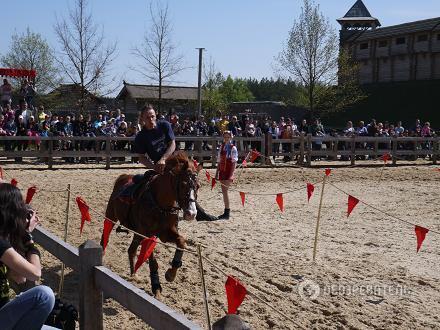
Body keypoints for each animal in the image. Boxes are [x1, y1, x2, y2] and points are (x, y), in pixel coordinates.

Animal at [100, 151, 199, 298]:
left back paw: (134, 274)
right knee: (105, 236)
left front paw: (171, 273)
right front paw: (156, 287)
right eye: (183, 184)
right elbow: (153, 262)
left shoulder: (166, 233)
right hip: (111, 216)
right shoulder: (148, 235)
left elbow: (181, 242)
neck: (160, 205)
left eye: (198, 186)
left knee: (131, 250)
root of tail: (122, 177)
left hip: (137, 233)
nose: (191, 213)